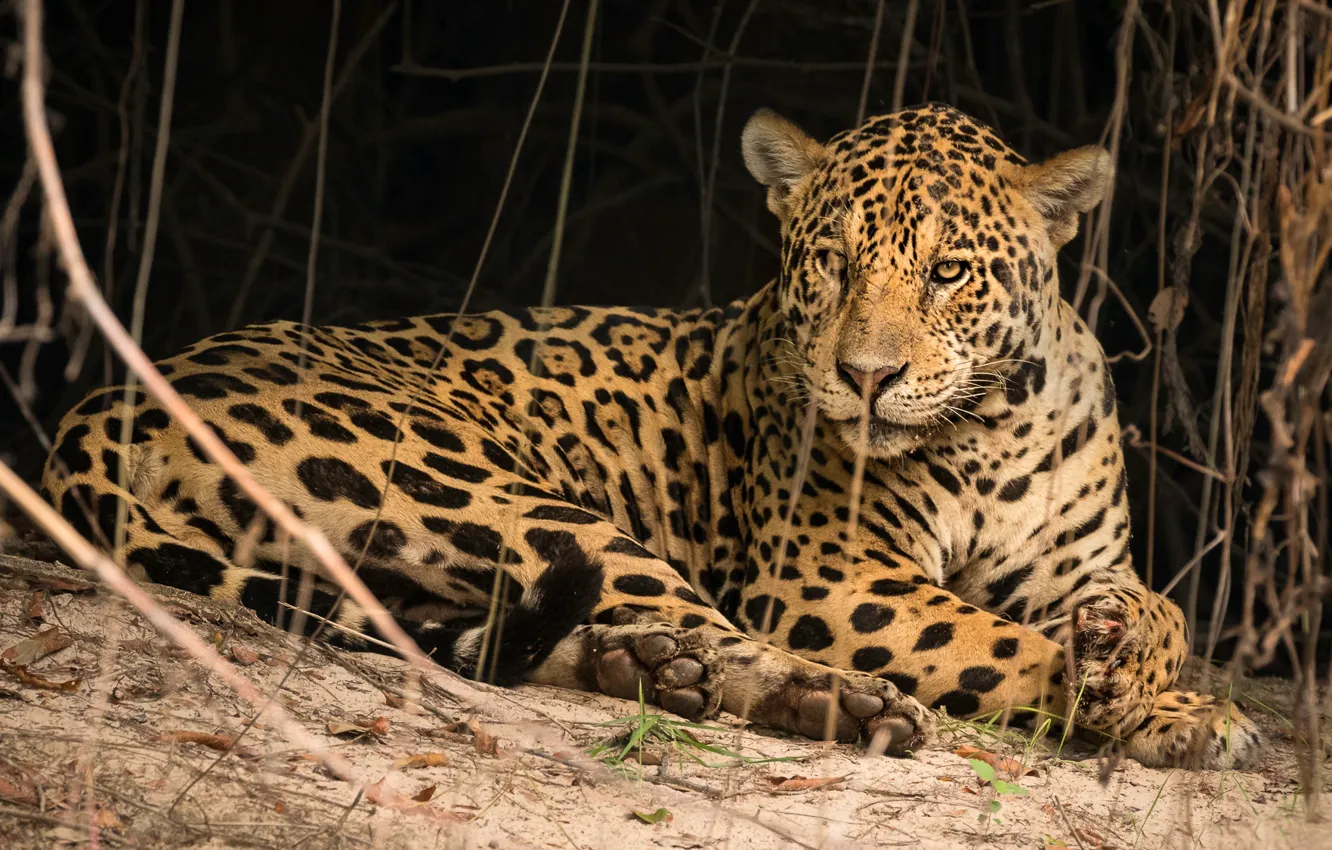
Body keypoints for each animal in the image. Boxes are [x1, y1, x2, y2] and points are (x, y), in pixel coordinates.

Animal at [41, 103, 1263, 770]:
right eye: (831, 264)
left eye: (949, 273)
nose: (866, 379)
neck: (993, 429)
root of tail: (100, 404)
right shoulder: (828, 576)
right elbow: (994, 643)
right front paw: (1145, 701)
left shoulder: (1081, 557)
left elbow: (1164, 607)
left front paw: (1146, 669)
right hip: (487, 487)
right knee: (701, 635)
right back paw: (832, 701)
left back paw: (647, 667)